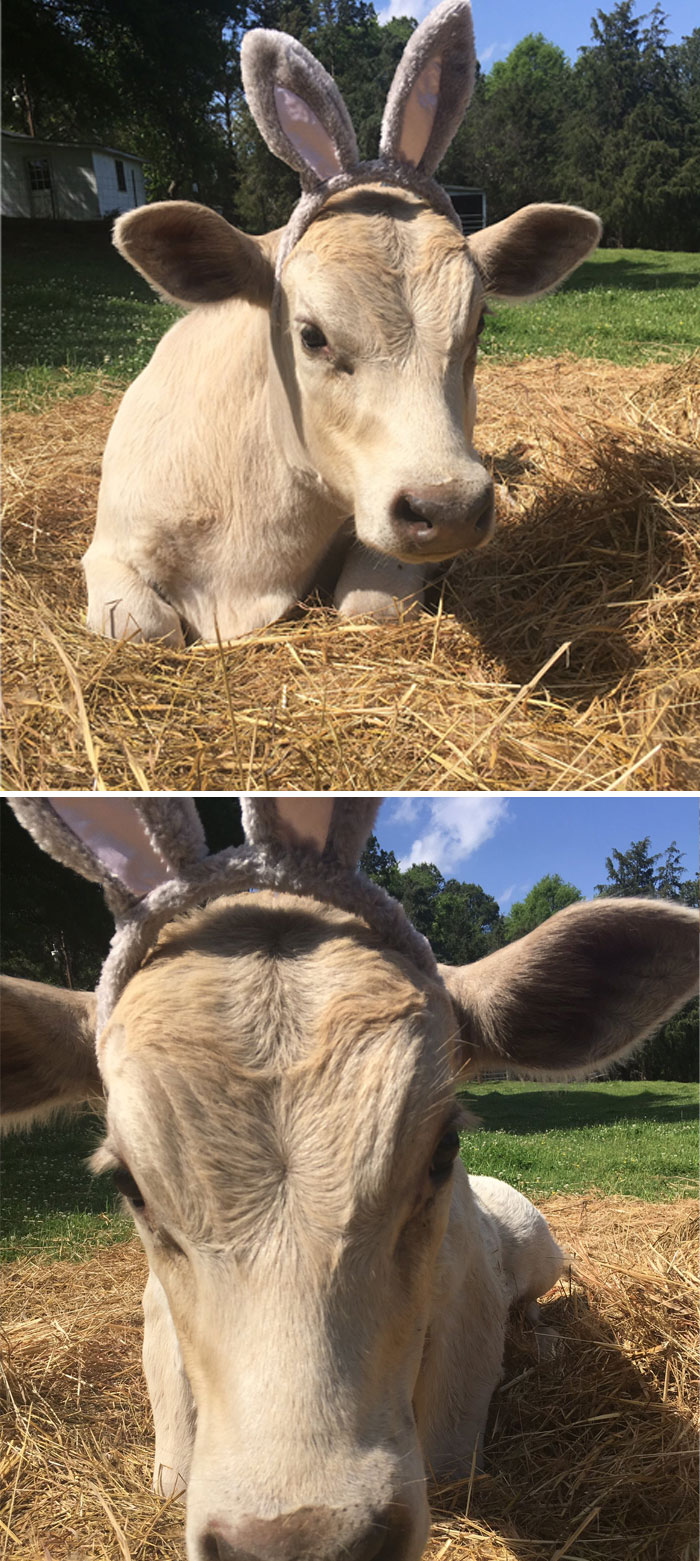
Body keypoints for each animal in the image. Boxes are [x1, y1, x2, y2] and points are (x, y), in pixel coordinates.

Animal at [3, 796, 697, 1561]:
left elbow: (453, 1459)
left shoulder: (468, 1333)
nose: (301, 1539)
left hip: (539, 1247)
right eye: (129, 1183)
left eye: (443, 1148)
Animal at [82, 0, 601, 645]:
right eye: (311, 336)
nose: (450, 509)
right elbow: (145, 628)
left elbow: (370, 603)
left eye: (479, 325)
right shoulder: (109, 549)